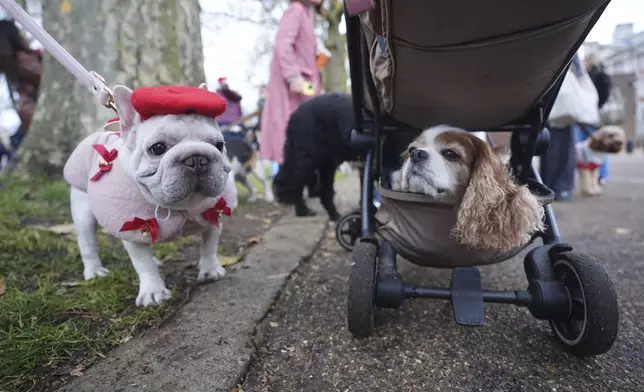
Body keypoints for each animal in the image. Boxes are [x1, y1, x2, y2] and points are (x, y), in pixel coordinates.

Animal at [270, 92, 354, 220]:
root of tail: (294, 115)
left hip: (325, 161)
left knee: (324, 190)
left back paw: (334, 216)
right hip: (309, 158)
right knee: (296, 182)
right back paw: (303, 211)